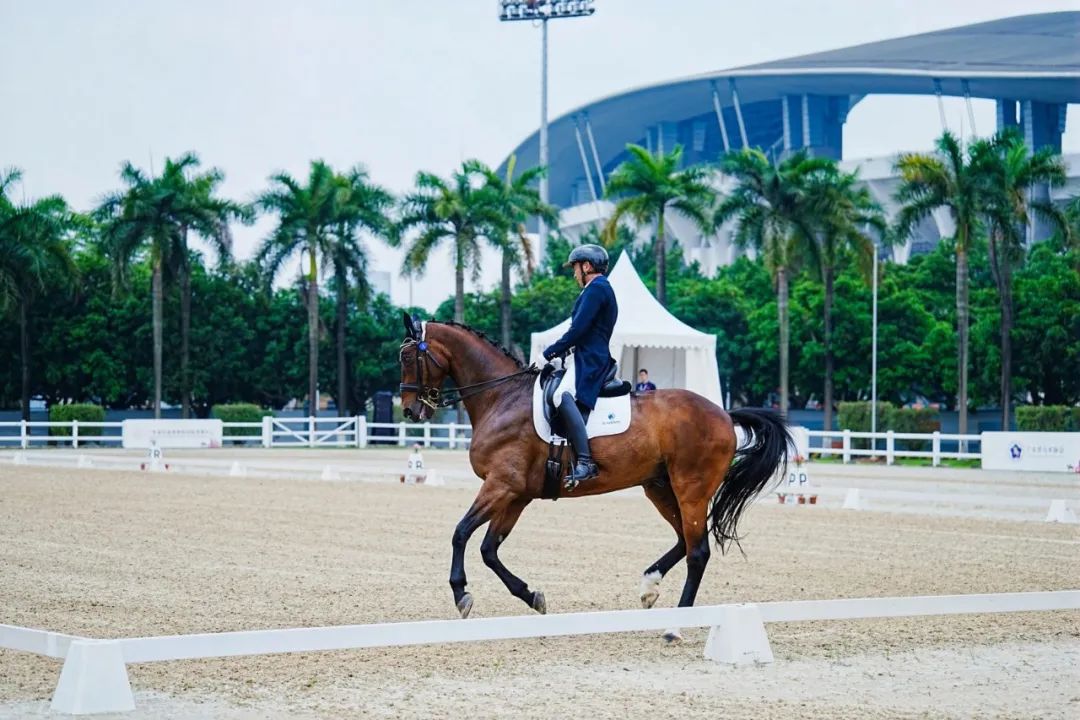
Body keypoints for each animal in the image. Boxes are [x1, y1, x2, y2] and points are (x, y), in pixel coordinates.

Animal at [401, 313, 790, 634]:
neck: (502, 397)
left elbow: (461, 533)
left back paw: (675, 625)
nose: (409, 411)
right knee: (684, 540)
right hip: (659, 487)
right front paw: (531, 595)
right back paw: (649, 587)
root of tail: (724, 414)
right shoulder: (517, 494)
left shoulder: (501, 485)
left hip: (690, 489)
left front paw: (461, 594)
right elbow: (488, 549)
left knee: (698, 553)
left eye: (407, 358)